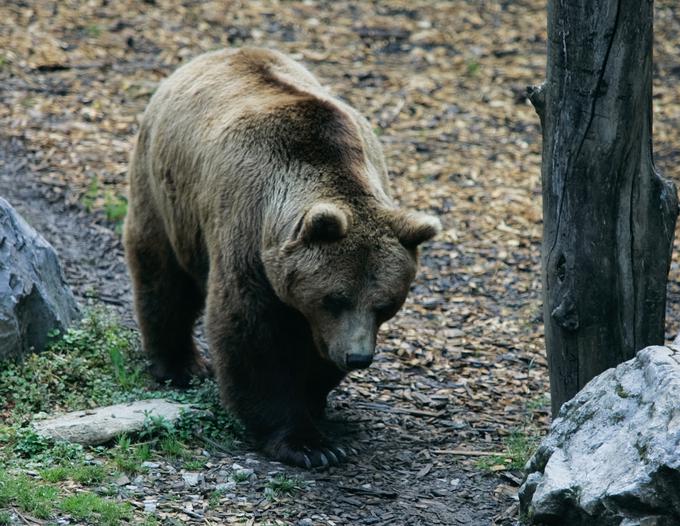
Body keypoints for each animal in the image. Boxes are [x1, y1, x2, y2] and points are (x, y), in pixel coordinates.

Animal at [122, 48, 440, 470]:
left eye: (386, 305)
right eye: (335, 298)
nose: (357, 357)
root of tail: (213, 54)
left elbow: (314, 349)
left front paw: (314, 400)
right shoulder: (248, 233)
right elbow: (252, 334)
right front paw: (308, 444)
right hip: (166, 191)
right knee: (163, 274)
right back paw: (180, 364)